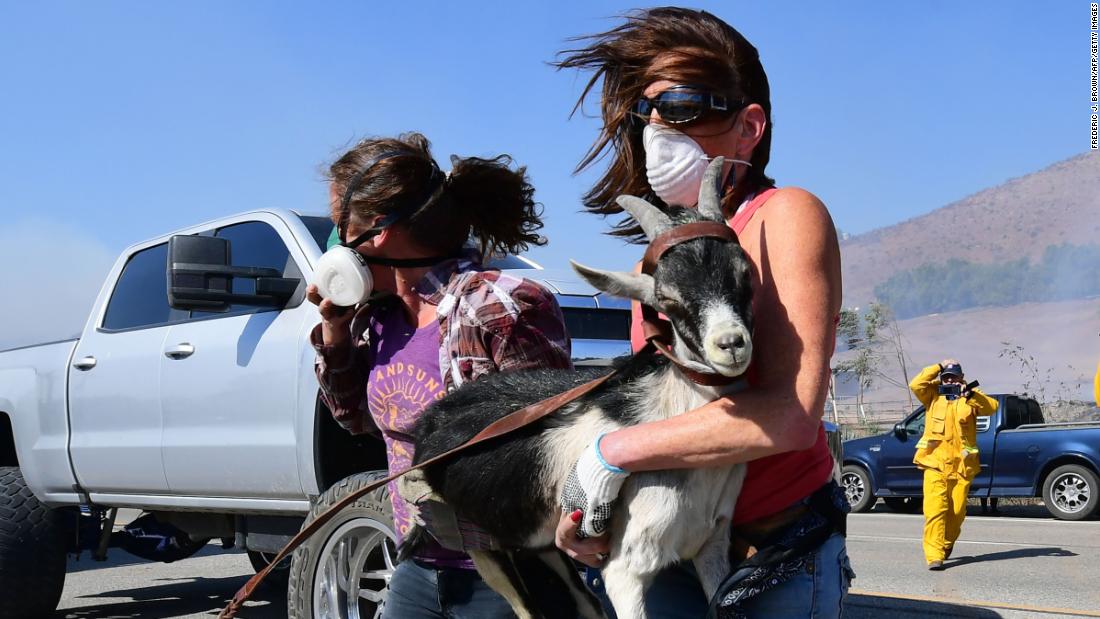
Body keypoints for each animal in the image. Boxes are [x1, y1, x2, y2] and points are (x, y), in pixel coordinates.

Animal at [402, 161, 756, 619]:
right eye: (667, 299)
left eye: (745, 274)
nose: (730, 344)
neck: (664, 413)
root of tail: (431, 418)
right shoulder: (625, 568)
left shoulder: (712, 544)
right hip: (482, 543)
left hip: (542, 540)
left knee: (583, 601)